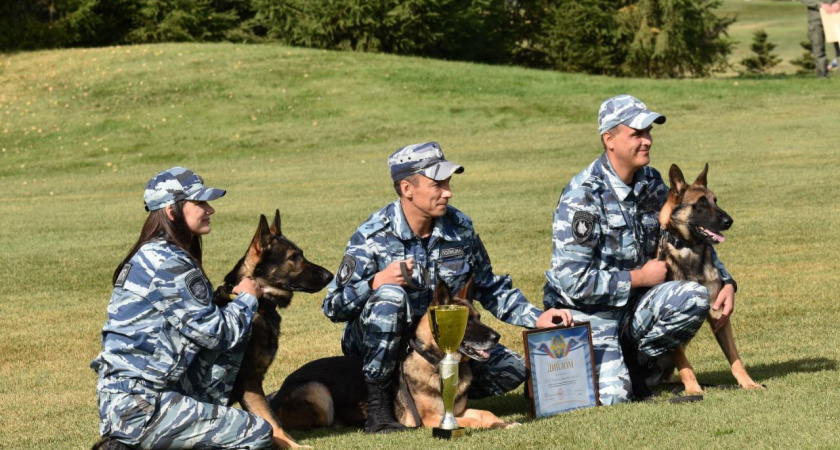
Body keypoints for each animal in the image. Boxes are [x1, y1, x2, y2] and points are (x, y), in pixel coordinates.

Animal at [215, 210, 334, 446]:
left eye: (301, 254)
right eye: (293, 257)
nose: (331, 276)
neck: (260, 305)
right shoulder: (249, 381)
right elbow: (272, 422)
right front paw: (295, 446)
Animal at [270, 276, 520, 430]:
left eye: (479, 317)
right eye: (466, 322)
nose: (496, 337)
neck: (433, 361)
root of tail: (278, 393)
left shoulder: (457, 410)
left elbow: (485, 414)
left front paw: (505, 423)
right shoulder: (433, 418)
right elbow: (472, 422)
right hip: (319, 393)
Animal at [652, 164, 764, 394]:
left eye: (715, 200)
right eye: (701, 204)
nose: (729, 221)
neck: (690, 249)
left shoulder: (719, 314)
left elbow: (735, 357)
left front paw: (748, 383)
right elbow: (684, 362)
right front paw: (694, 389)